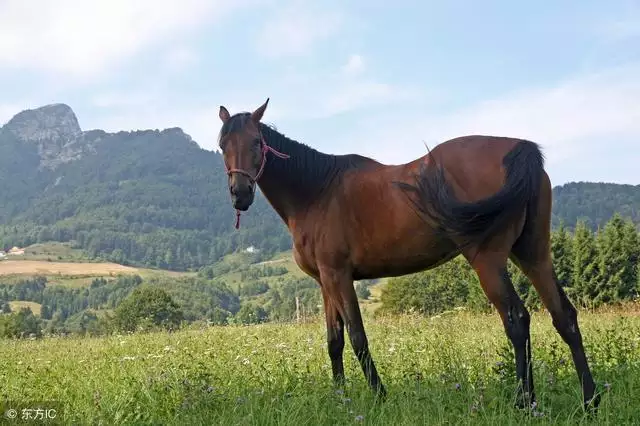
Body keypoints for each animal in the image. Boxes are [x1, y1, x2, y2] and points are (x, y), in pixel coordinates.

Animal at [216, 97, 600, 412]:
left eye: (256, 142)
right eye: (222, 145)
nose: (240, 194)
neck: (316, 191)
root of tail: (520, 150)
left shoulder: (339, 276)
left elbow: (357, 337)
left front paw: (379, 397)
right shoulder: (325, 282)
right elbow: (334, 341)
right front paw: (340, 398)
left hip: (488, 260)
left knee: (517, 320)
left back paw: (524, 402)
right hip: (533, 254)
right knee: (564, 317)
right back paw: (588, 400)